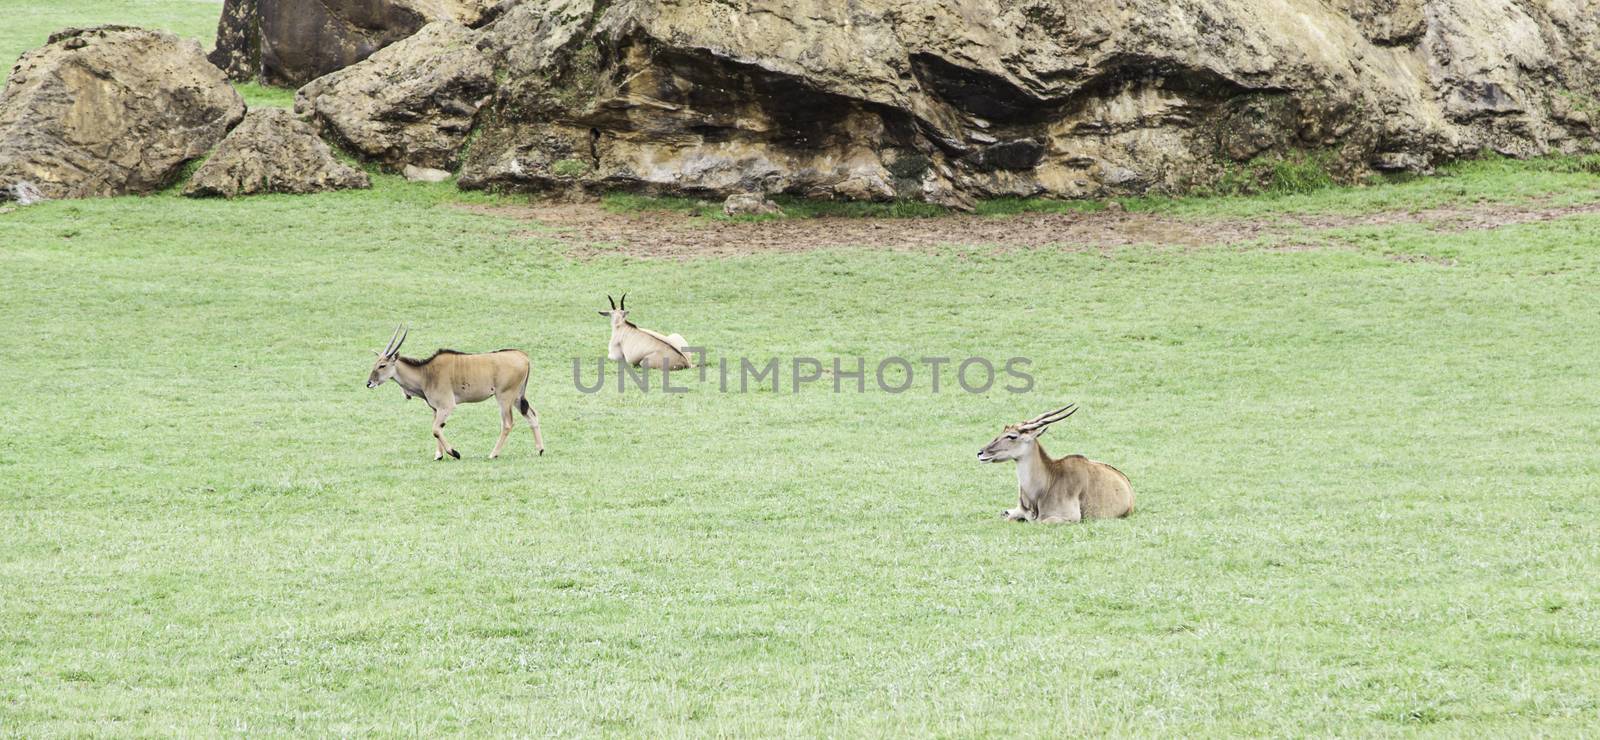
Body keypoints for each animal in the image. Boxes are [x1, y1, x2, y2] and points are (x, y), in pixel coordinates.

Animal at [363, 326, 544, 458]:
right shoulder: (436, 409)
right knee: (532, 415)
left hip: (504, 396)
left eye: (382, 365)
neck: (425, 374)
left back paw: (493, 454)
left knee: (507, 423)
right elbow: (436, 428)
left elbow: (435, 429)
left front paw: (454, 453)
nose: (369, 383)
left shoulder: (447, 406)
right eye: (375, 364)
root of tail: (523, 356)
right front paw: (438, 455)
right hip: (517, 397)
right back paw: (539, 450)